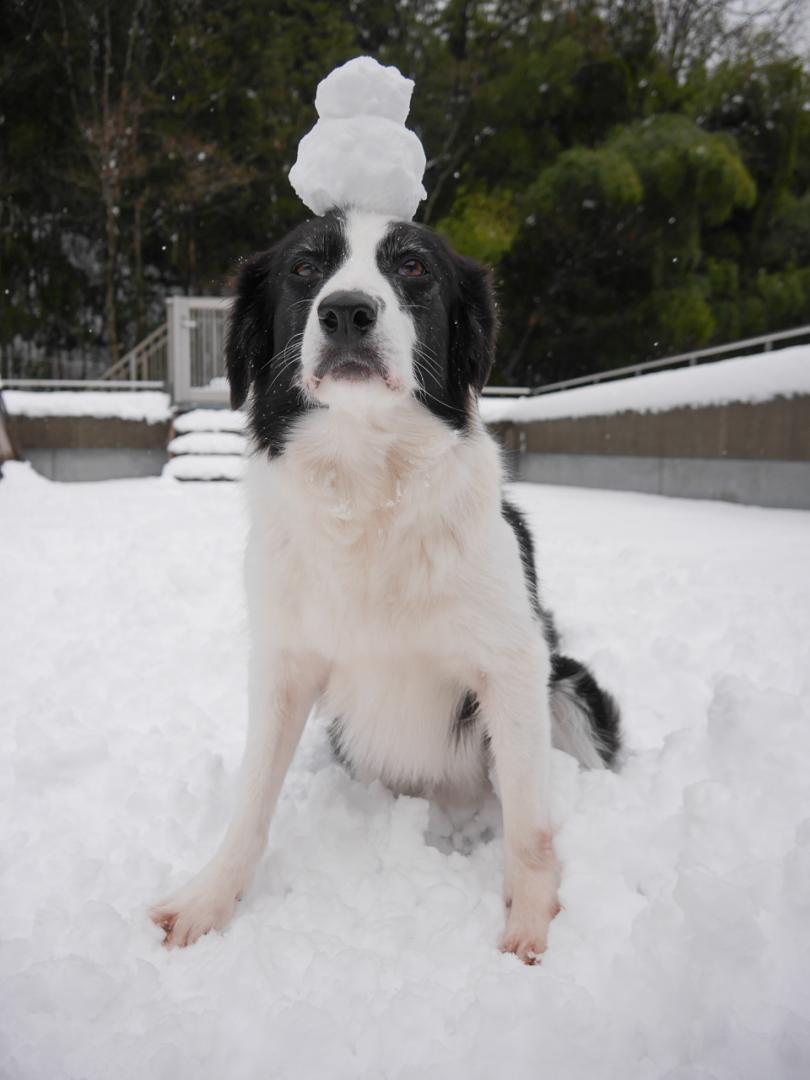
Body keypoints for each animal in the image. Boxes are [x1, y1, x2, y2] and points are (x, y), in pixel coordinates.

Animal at [152, 204, 622, 963]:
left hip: (572, 686)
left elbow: (528, 823)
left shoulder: (514, 662)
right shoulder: (283, 664)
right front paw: (207, 900)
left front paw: (530, 929)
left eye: (413, 266)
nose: (347, 312)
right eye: (305, 267)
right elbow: (251, 801)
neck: (366, 479)